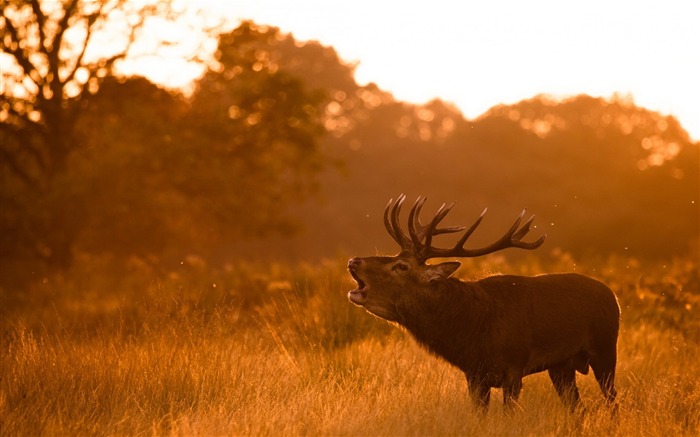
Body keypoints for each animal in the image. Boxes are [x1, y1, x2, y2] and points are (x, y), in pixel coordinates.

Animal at [348, 194, 620, 412]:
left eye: (401, 266)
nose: (354, 261)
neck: (474, 331)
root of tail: (613, 295)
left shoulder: (514, 368)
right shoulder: (474, 375)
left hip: (605, 348)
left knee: (613, 401)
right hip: (562, 366)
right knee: (577, 408)